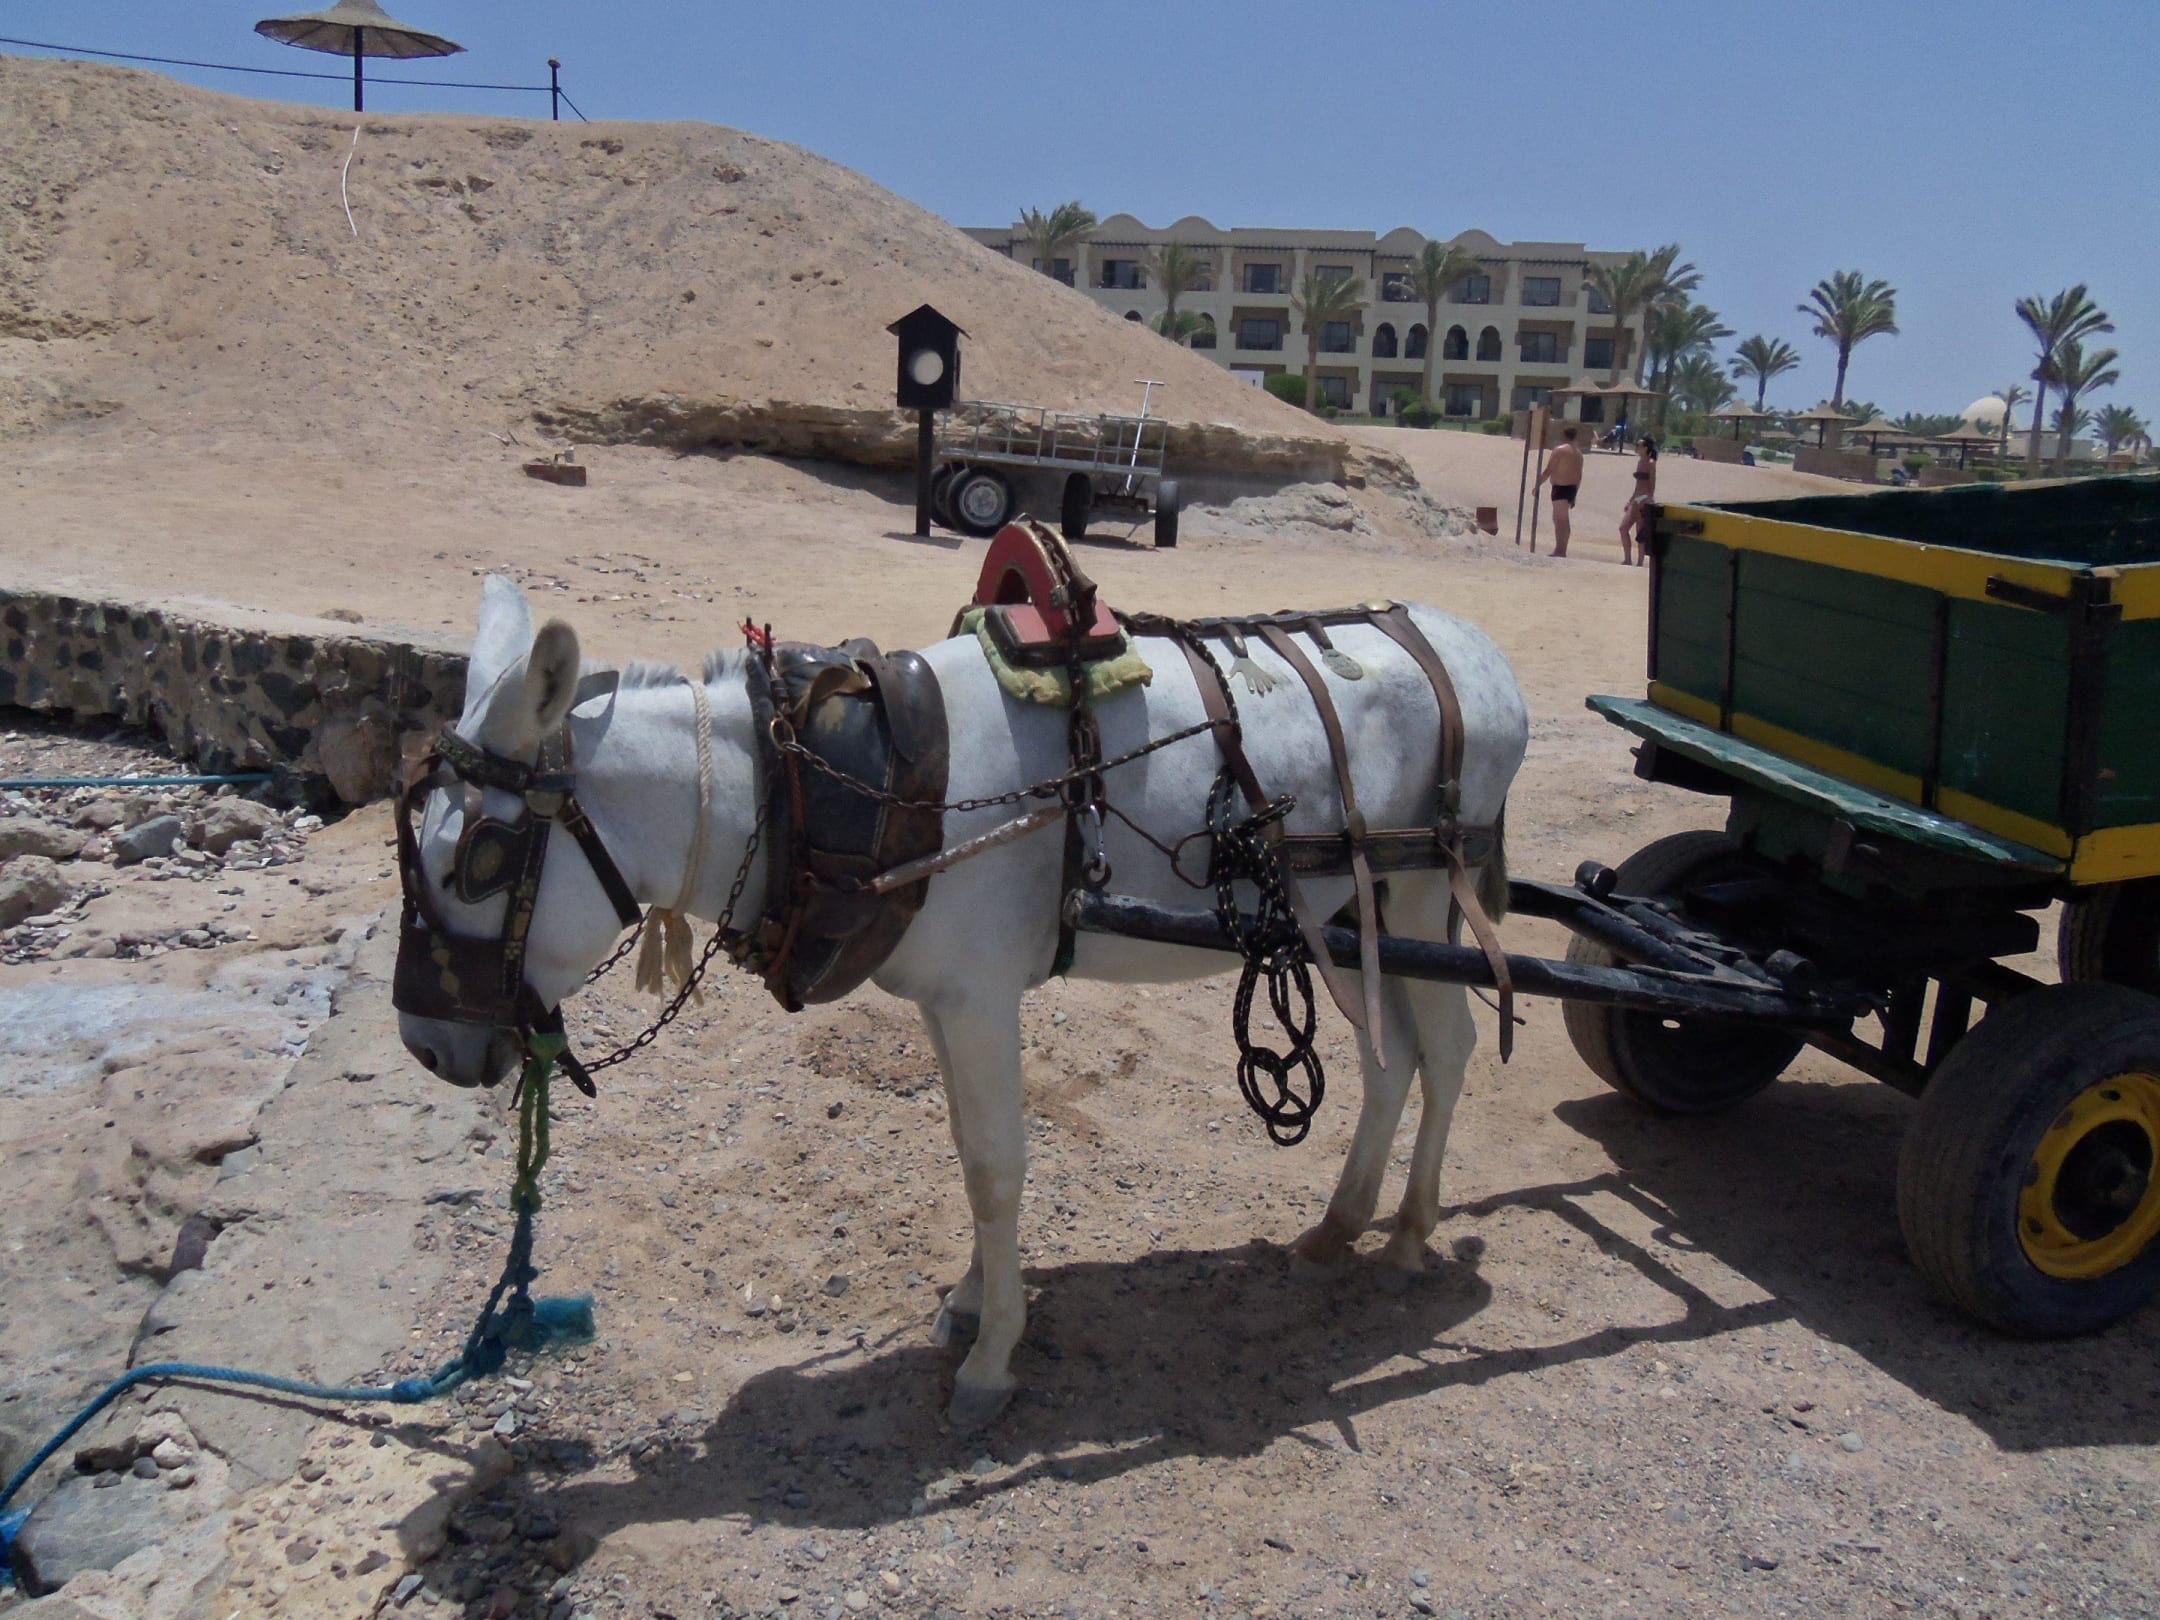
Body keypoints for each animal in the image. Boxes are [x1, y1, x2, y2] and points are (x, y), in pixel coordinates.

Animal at [398, 575, 1529, 1429]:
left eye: (476, 860)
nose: (424, 1046)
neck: (831, 788)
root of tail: (1479, 653)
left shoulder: (982, 999)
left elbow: (995, 1169)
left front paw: (992, 1359)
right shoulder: (945, 1001)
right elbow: (963, 1151)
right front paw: (970, 1302)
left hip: (1424, 886)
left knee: (1451, 1047)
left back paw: (1412, 1233)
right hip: (1350, 905)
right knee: (1391, 1054)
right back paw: (1342, 1223)